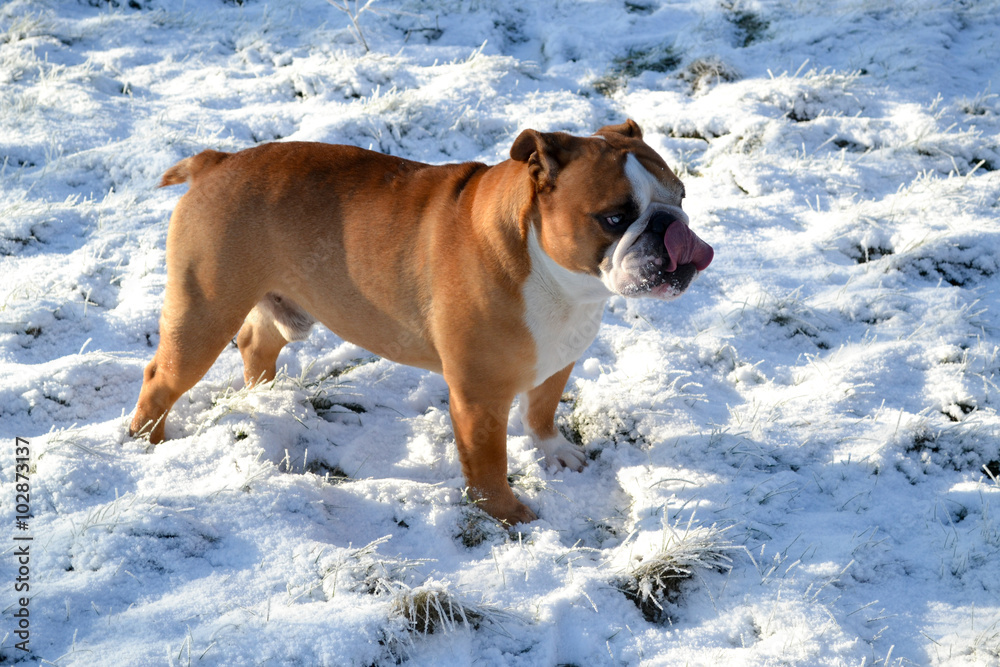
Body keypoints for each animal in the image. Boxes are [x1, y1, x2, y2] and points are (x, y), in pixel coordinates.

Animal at [131, 120, 712, 528]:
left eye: (682, 197)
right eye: (615, 218)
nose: (672, 227)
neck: (554, 274)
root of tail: (215, 162)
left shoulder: (555, 362)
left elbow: (542, 412)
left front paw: (554, 451)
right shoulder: (479, 397)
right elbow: (488, 463)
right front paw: (507, 514)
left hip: (275, 305)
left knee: (257, 342)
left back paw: (268, 399)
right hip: (203, 312)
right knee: (161, 378)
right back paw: (146, 442)